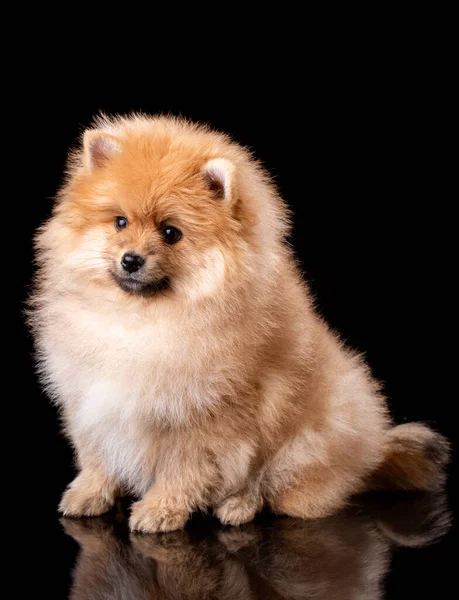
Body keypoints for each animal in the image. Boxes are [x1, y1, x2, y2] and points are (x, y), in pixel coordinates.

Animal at [30, 115, 452, 532]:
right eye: (120, 222)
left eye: (171, 233)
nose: (131, 259)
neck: (143, 319)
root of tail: (372, 453)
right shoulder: (91, 402)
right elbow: (97, 457)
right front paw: (88, 493)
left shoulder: (203, 418)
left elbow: (184, 470)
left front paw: (161, 510)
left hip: (308, 444)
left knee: (271, 486)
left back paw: (238, 505)